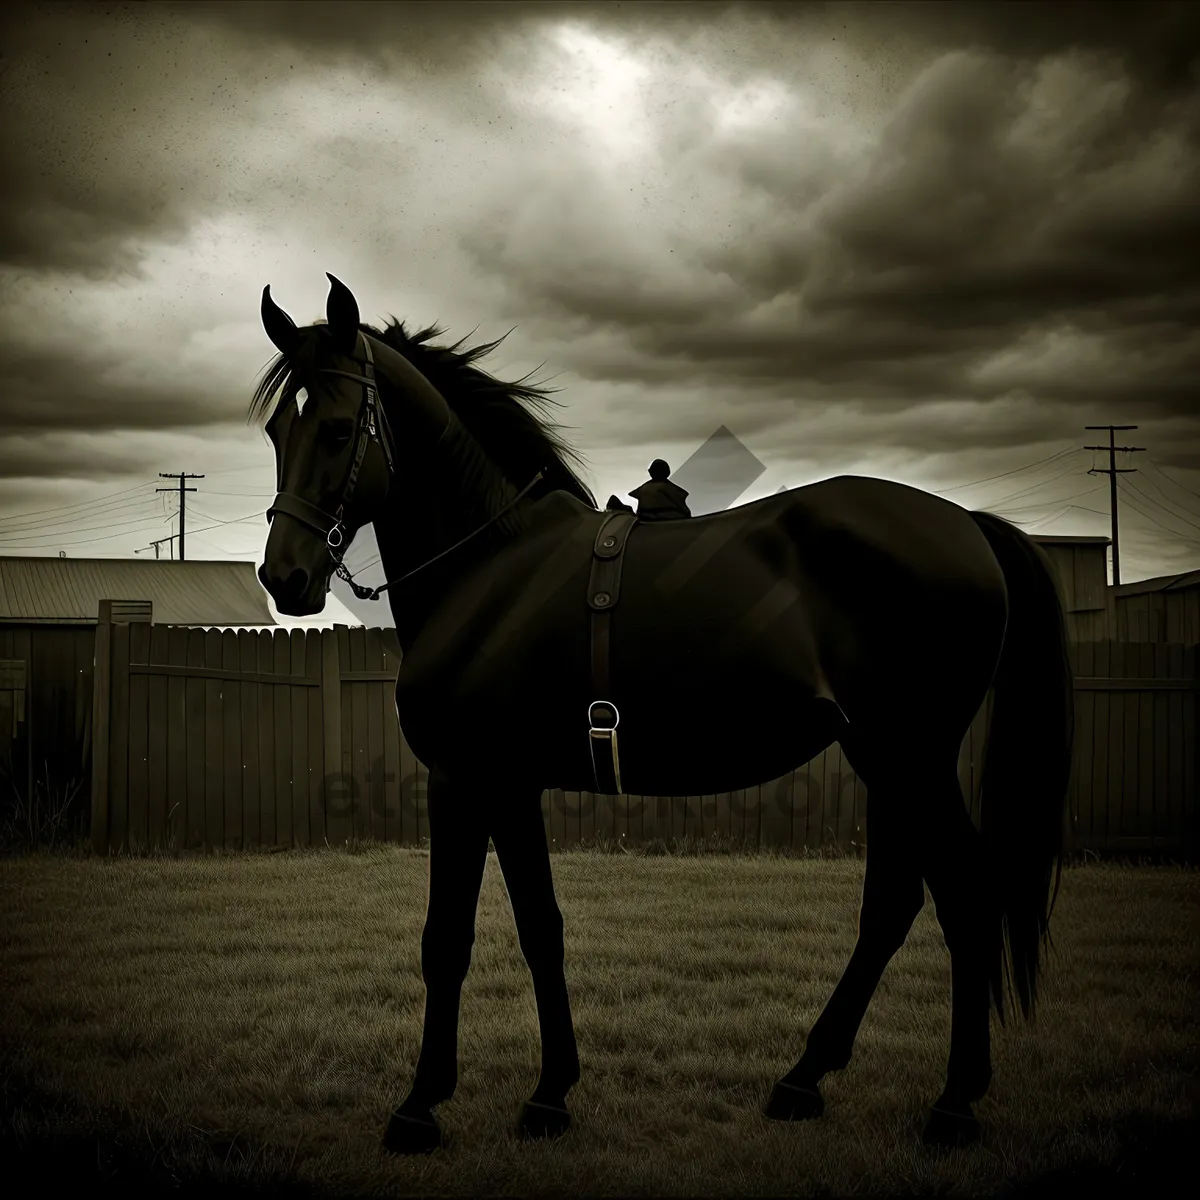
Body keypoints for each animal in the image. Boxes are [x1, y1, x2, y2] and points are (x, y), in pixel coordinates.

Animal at [255, 272, 1080, 1152]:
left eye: (338, 427)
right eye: (277, 428)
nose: (285, 578)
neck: (493, 566)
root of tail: (968, 527)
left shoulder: (462, 778)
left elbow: (446, 938)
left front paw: (419, 1105)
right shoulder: (509, 786)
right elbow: (540, 927)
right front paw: (551, 1093)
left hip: (908, 758)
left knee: (966, 897)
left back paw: (954, 1102)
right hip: (889, 762)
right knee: (893, 906)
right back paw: (804, 1078)